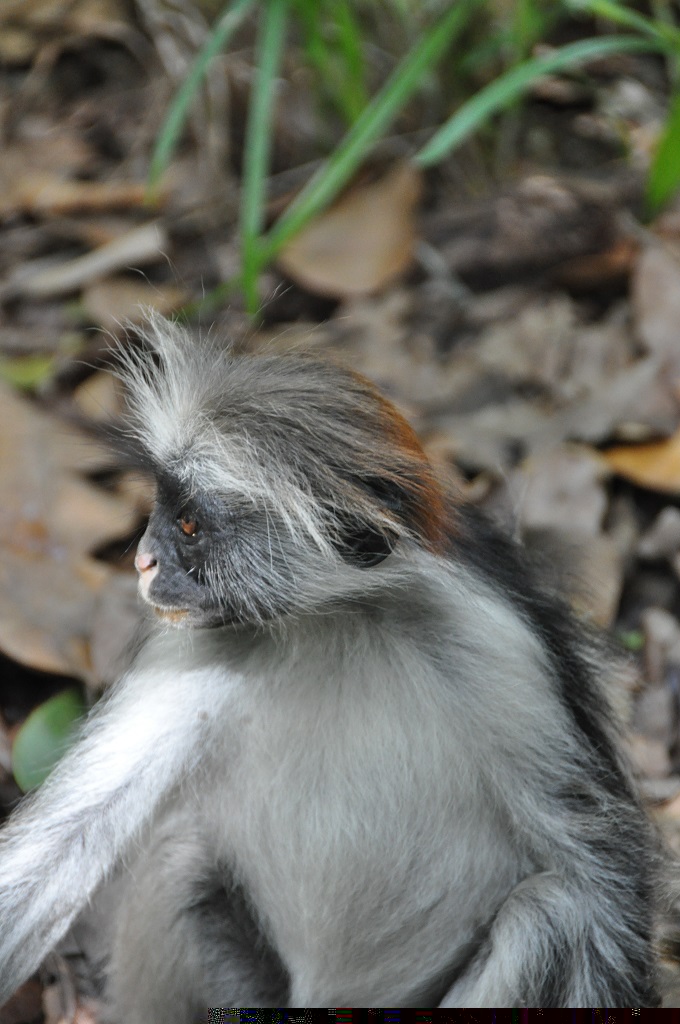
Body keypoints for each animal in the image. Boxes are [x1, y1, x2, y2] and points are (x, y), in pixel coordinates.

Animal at [0, 313, 658, 1015]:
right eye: (163, 511)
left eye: (188, 525)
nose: (143, 561)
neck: (337, 620)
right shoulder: (195, 642)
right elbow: (68, 840)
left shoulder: (502, 646)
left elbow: (597, 878)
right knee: (181, 861)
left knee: (550, 911)